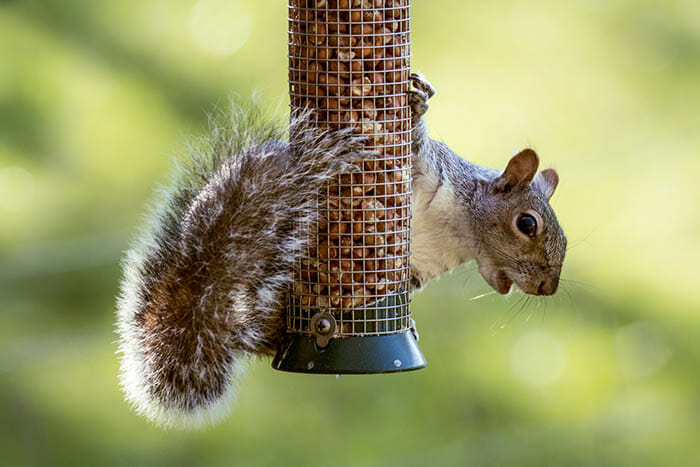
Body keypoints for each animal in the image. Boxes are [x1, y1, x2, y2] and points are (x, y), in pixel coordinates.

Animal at [116, 73, 566, 429]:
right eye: (527, 224)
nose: (548, 287)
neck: (457, 233)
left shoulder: (418, 266)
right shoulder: (423, 168)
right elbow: (412, 140)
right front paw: (417, 103)